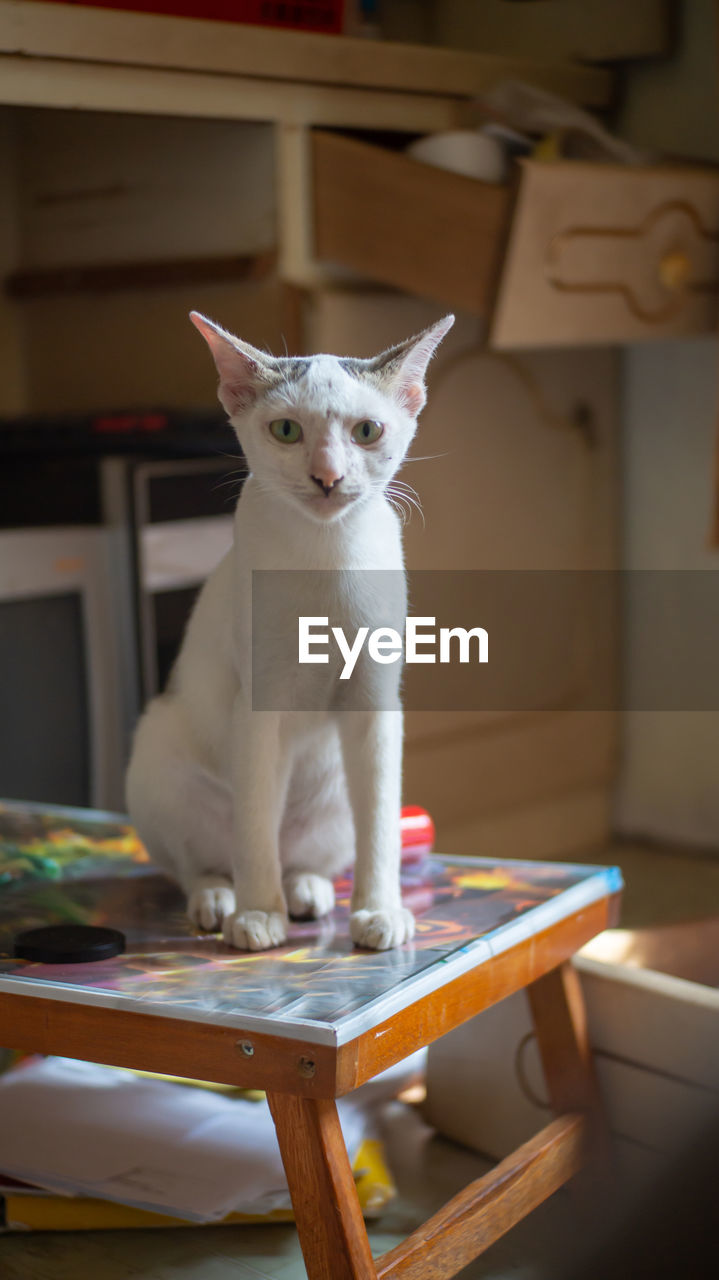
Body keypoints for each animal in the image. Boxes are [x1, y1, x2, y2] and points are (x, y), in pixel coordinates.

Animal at [125, 309, 450, 952]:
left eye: (367, 431)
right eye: (286, 431)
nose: (327, 476)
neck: (327, 556)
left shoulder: (375, 703)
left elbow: (380, 830)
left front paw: (379, 912)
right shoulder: (258, 704)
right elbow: (255, 826)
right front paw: (257, 916)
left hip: (335, 797)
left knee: (308, 851)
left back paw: (306, 890)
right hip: (157, 759)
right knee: (205, 859)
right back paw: (222, 901)